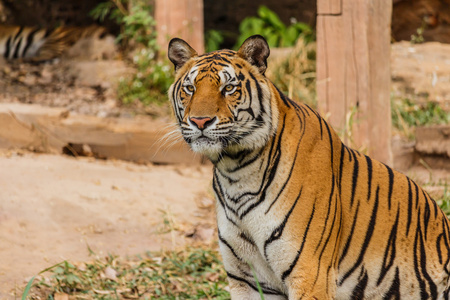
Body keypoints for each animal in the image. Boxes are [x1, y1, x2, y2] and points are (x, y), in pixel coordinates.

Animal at [168, 35, 450, 300]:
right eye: (190, 88)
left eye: (228, 88)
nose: (200, 121)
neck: (235, 169)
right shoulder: (245, 279)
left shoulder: (309, 273)